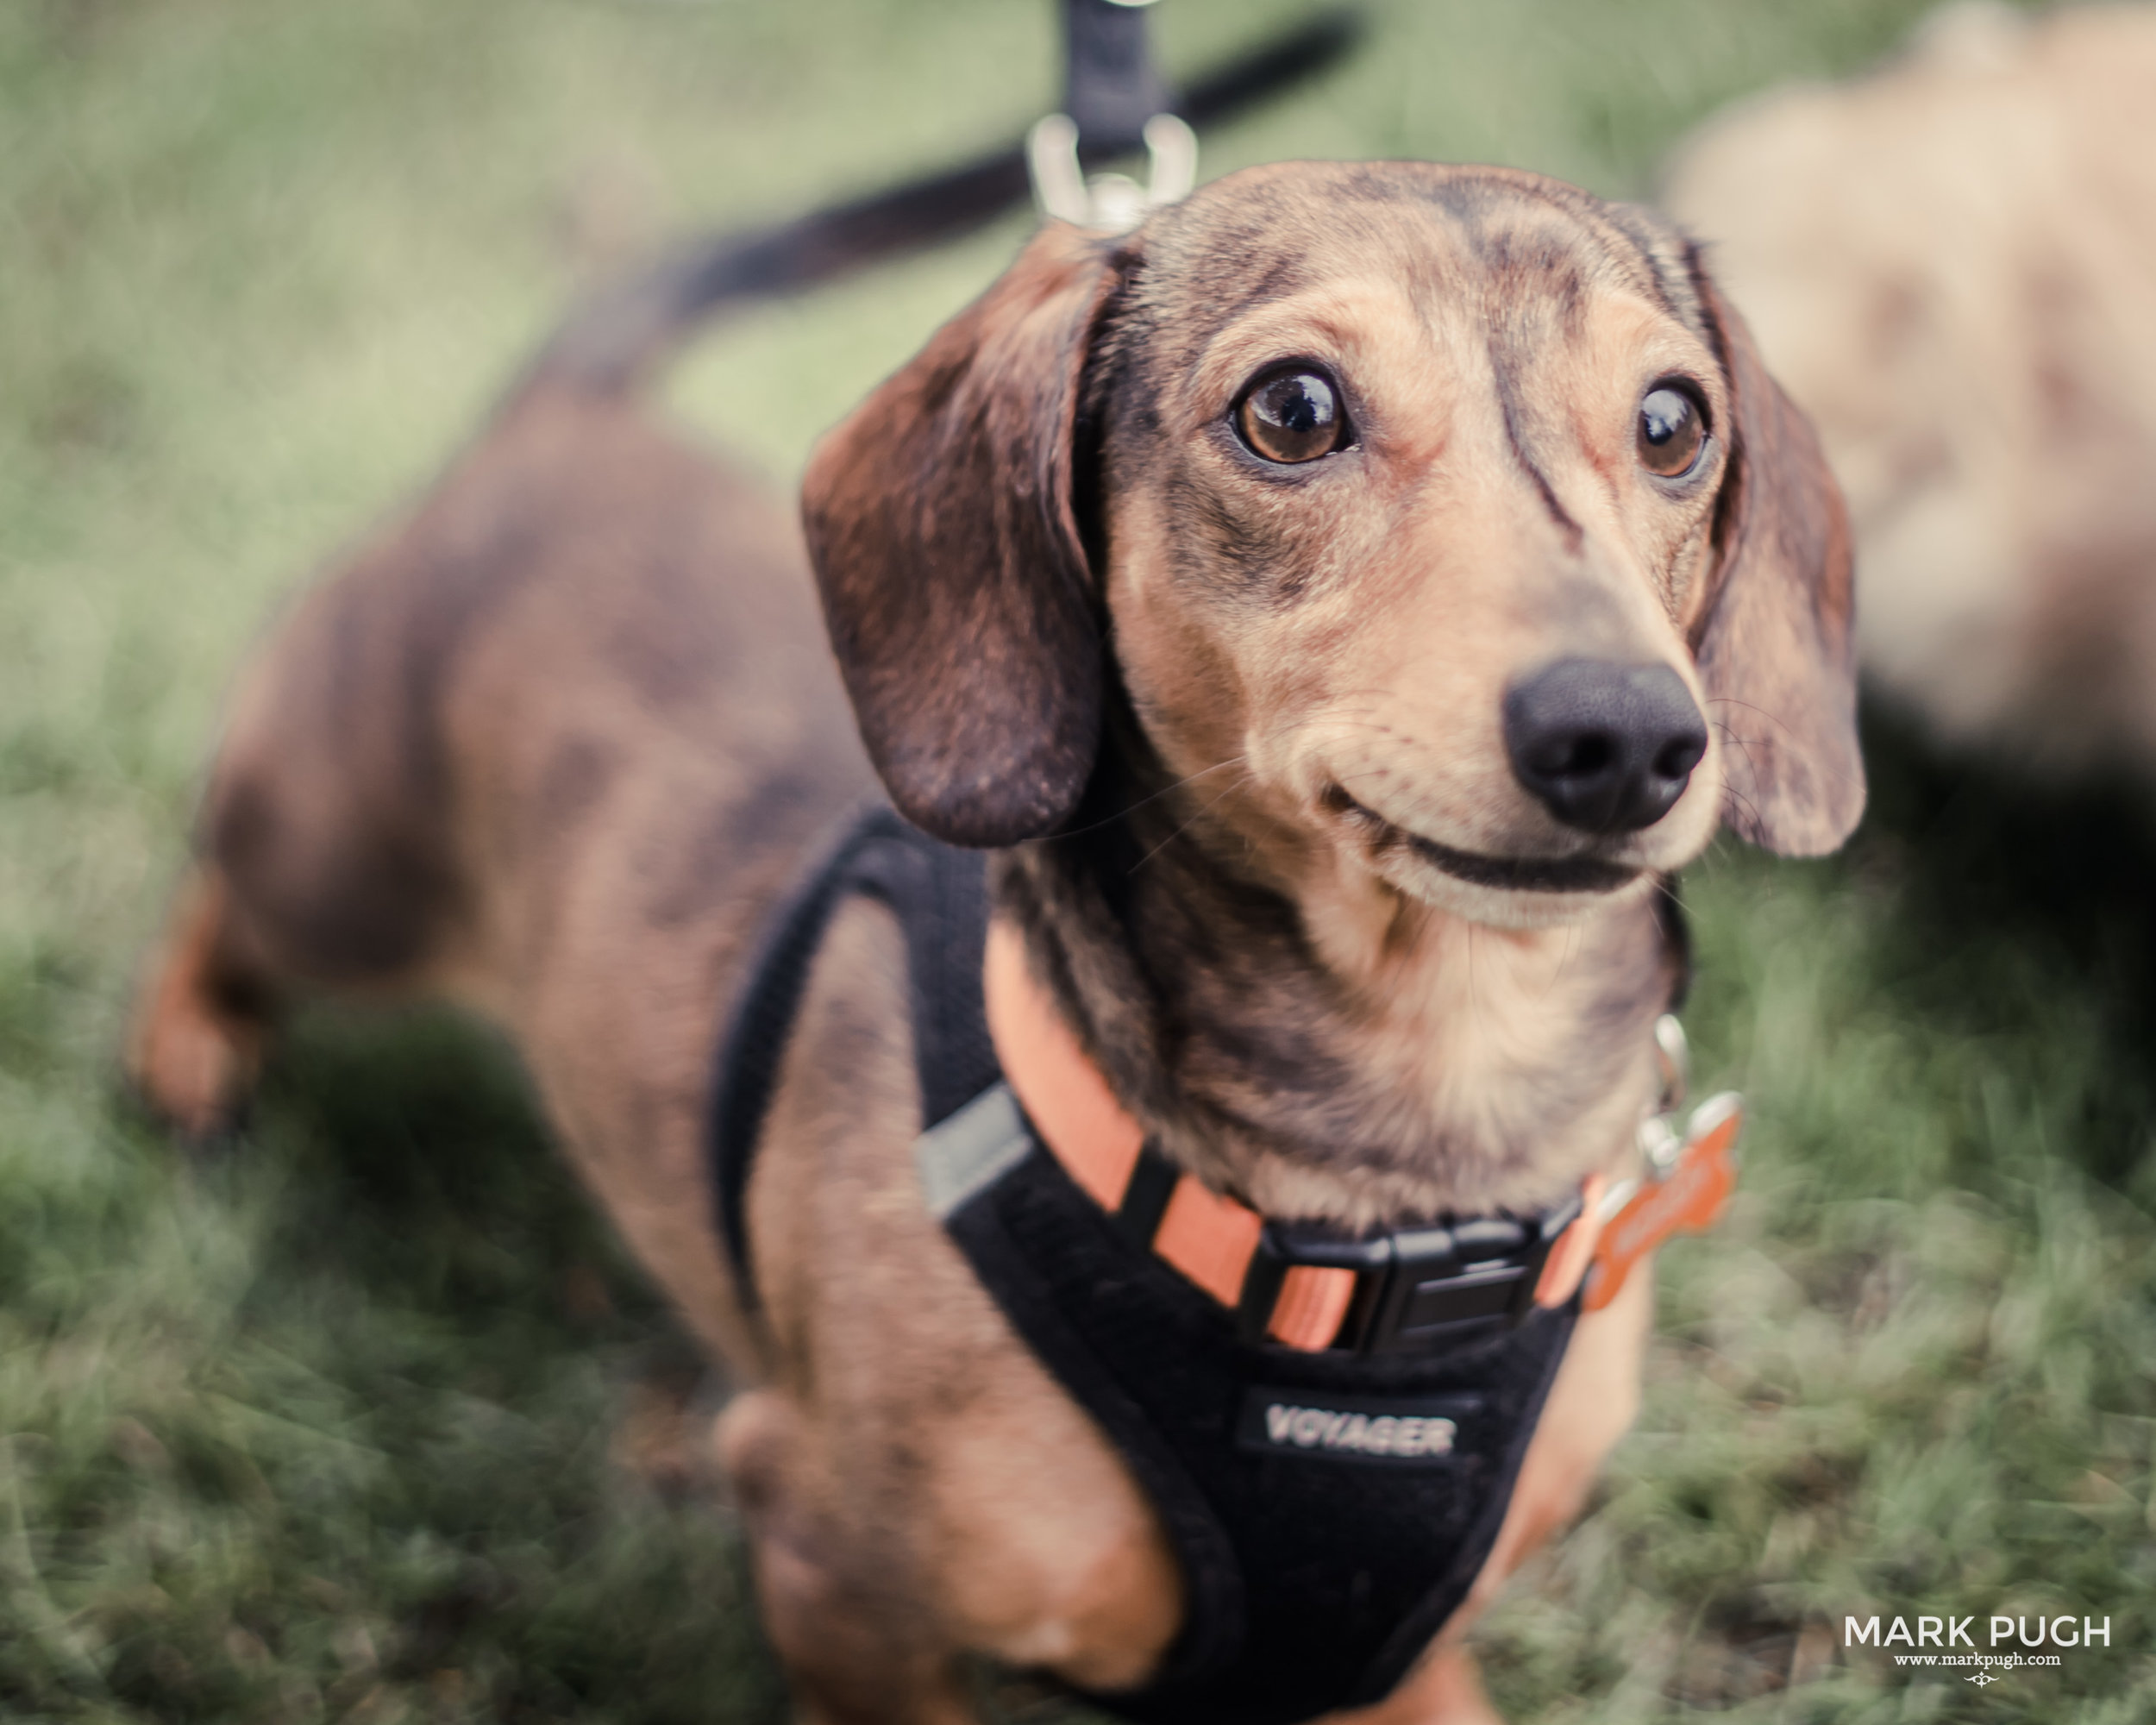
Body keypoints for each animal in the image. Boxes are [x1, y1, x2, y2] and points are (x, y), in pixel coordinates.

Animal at [135, 158, 1863, 1708]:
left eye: (1673, 422)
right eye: (1294, 411)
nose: (1629, 737)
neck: (1388, 1219)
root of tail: (556, 421)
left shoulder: (1395, 1656)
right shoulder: (836, 1575)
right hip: (330, 865)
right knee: (221, 867)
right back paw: (189, 1045)